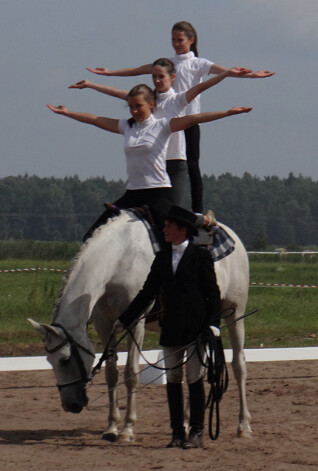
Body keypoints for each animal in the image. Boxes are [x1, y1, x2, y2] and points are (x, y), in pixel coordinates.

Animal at [30, 210, 251, 442]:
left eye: (64, 360)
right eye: (49, 360)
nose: (70, 405)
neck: (119, 259)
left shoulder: (136, 323)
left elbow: (131, 373)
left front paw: (128, 428)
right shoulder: (104, 323)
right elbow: (111, 373)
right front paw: (111, 427)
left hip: (235, 312)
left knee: (238, 365)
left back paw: (243, 426)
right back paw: (186, 421)